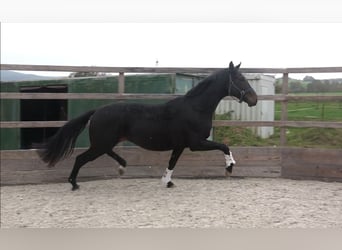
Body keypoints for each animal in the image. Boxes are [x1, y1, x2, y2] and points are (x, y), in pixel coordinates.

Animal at [37, 62, 256, 189]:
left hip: (106, 142)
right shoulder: (196, 143)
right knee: (81, 158)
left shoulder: (180, 145)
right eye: (240, 78)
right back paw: (74, 183)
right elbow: (224, 146)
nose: (254, 99)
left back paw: (122, 166)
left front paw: (167, 181)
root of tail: (97, 111)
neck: (195, 108)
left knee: (105, 153)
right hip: (101, 143)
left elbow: (172, 163)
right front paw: (230, 167)